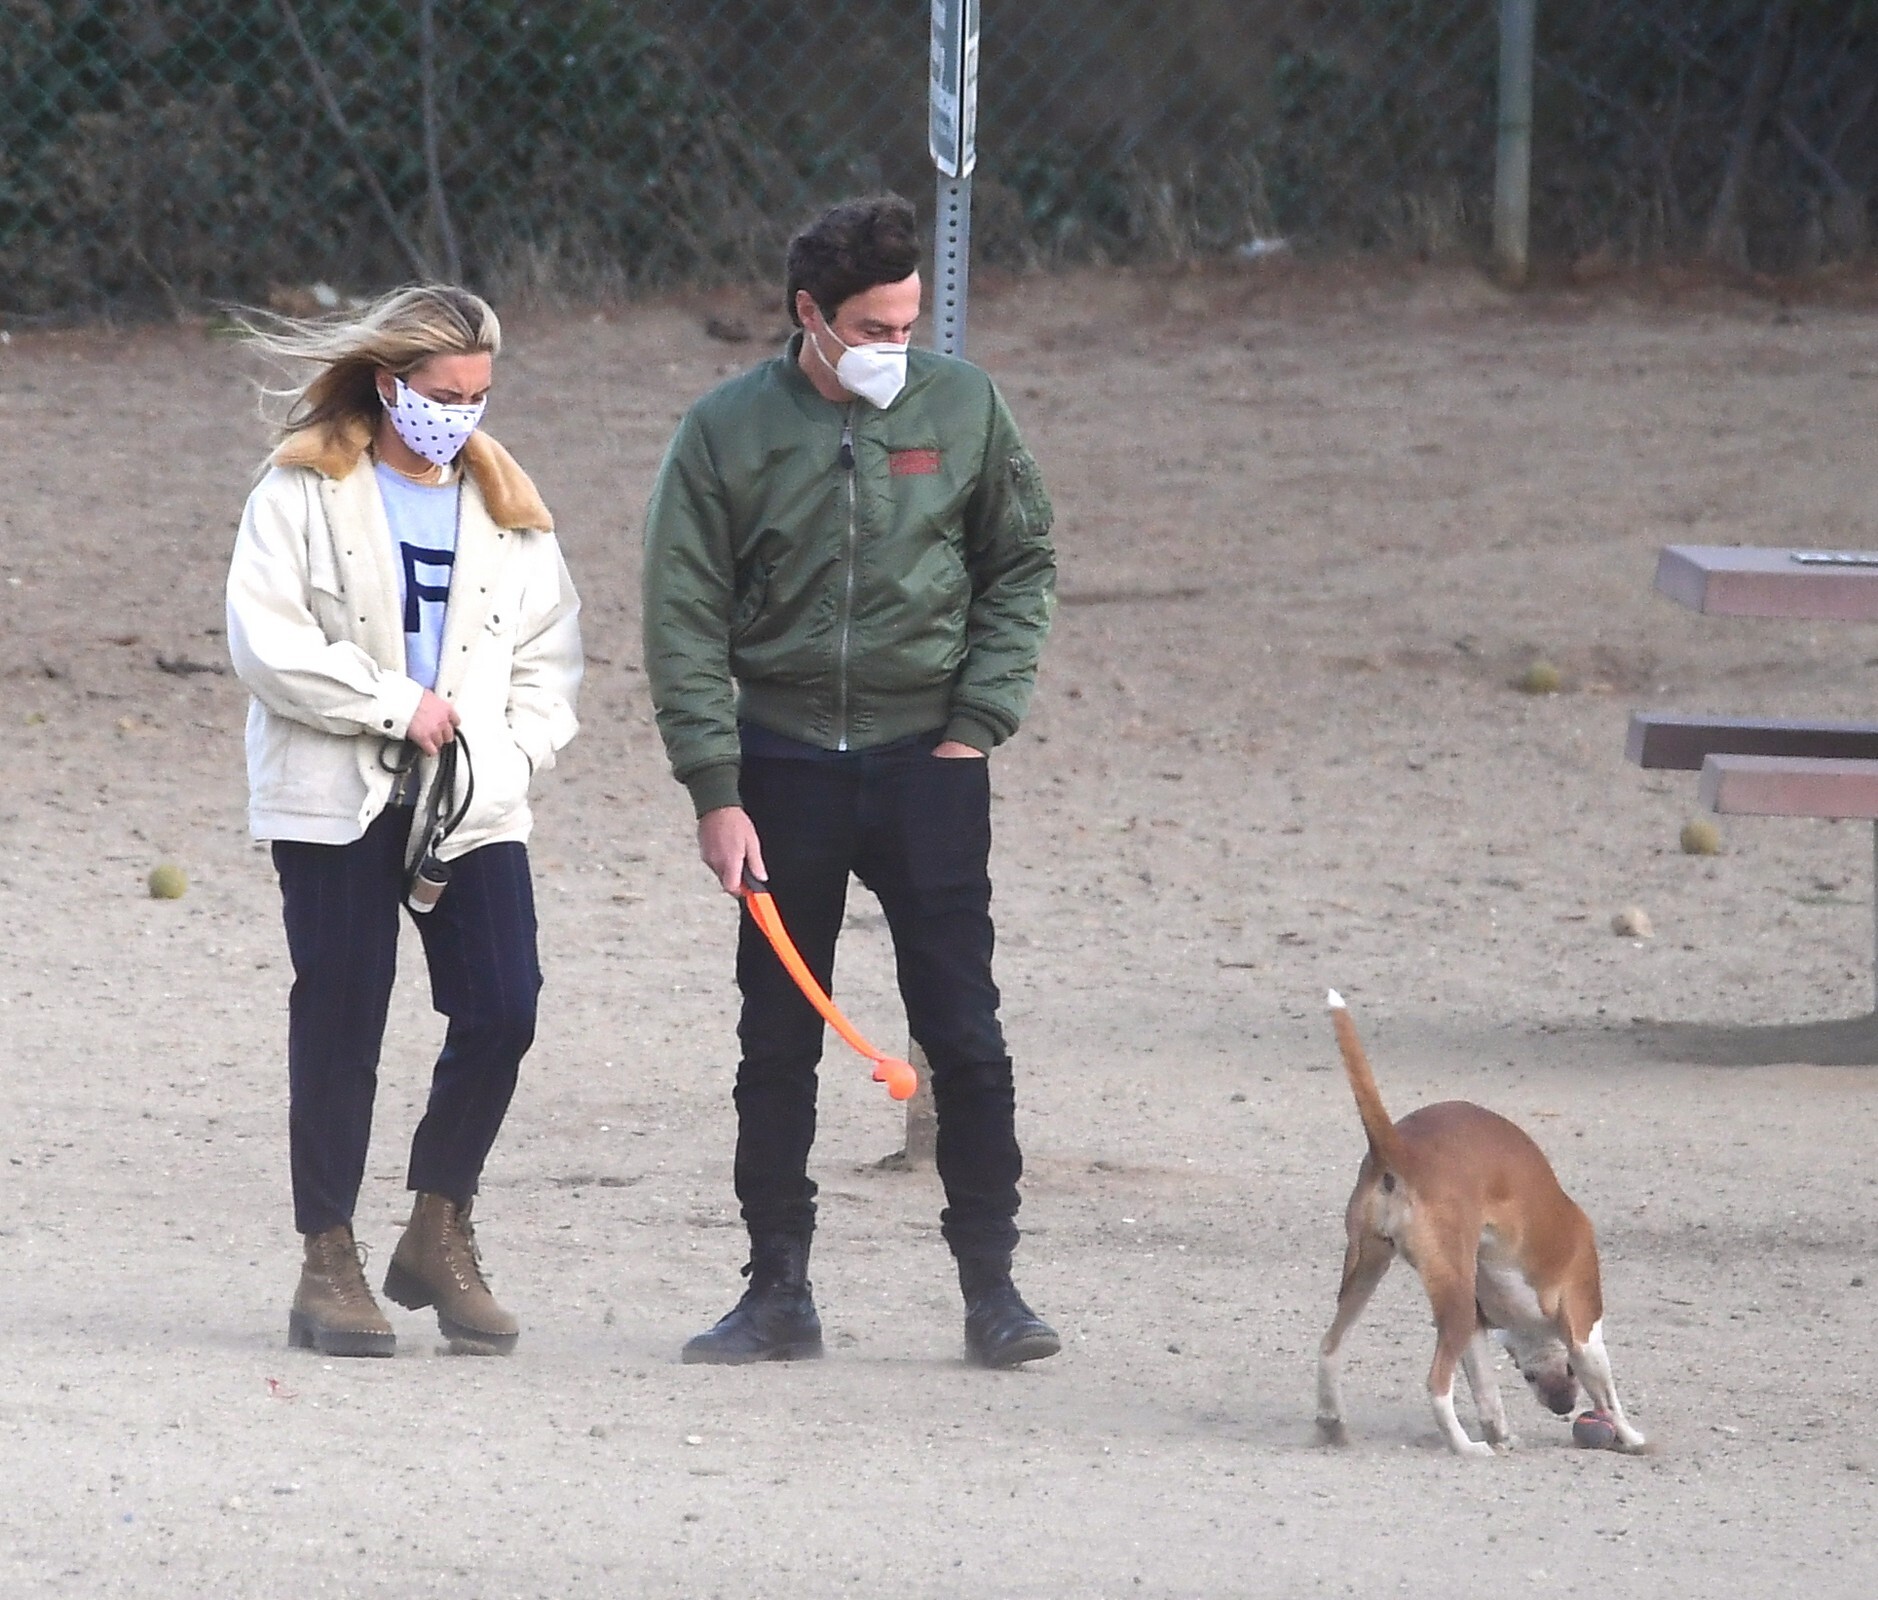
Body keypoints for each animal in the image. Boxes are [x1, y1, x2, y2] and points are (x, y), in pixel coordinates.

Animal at [1314, 990, 1645, 1458]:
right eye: (1540, 1375)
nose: (1563, 1408)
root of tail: (1401, 1151)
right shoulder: (1584, 1330)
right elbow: (1609, 1393)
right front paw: (1633, 1437)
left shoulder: (1475, 1327)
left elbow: (1488, 1395)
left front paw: (1502, 1434)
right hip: (1449, 1296)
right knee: (1436, 1385)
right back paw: (1464, 1447)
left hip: (1366, 1273)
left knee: (1329, 1348)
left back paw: (1332, 1425)